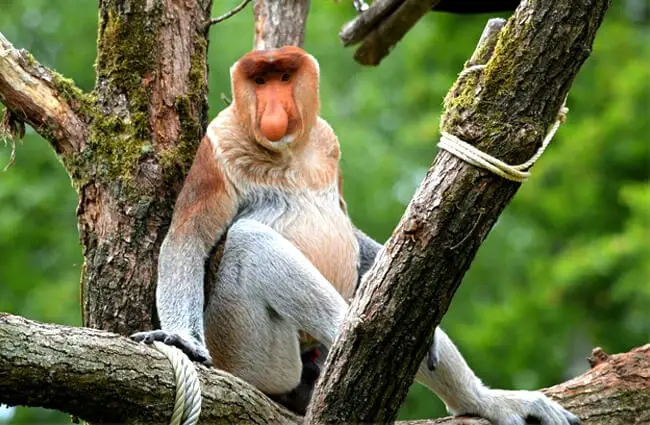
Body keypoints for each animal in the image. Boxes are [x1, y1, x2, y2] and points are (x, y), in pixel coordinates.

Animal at [132, 46, 580, 425]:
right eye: (259, 81)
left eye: (283, 76)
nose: (273, 107)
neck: (288, 152)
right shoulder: (218, 145)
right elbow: (187, 241)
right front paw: (180, 340)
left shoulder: (328, 140)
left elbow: (349, 227)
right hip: (245, 352)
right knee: (248, 241)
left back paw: (483, 399)